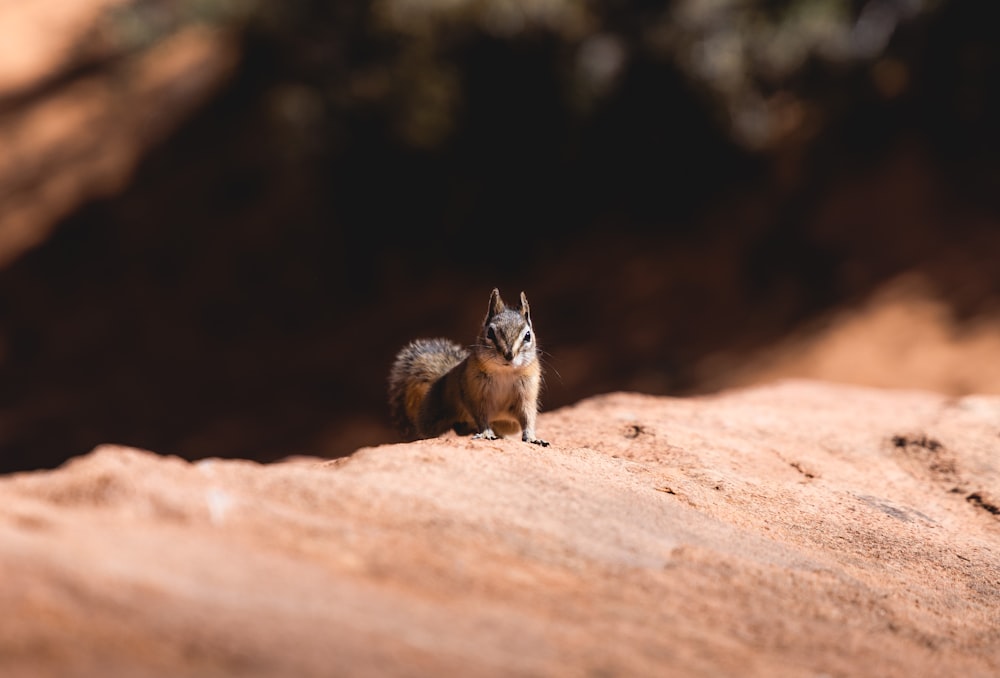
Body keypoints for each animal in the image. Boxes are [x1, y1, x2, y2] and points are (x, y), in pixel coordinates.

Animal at [386, 290, 552, 448]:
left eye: (528, 335)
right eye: (490, 333)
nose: (509, 355)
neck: (504, 372)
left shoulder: (526, 394)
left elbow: (527, 418)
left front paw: (532, 438)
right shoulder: (476, 395)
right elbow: (481, 417)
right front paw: (486, 434)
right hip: (433, 415)